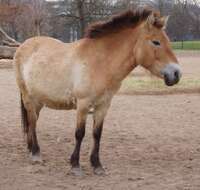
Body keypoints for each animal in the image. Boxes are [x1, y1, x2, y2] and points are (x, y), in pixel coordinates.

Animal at [12, 8, 181, 175]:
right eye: (156, 42)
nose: (176, 74)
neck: (99, 62)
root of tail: (24, 45)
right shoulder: (83, 104)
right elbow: (80, 133)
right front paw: (75, 165)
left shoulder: (103, 105)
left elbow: (97, 134)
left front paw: (97, 165)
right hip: (28, 97)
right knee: (32, 121)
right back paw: (36, 154)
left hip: (39, 100)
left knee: (32, 121)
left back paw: (31, 149)